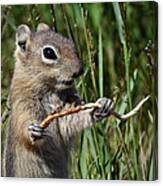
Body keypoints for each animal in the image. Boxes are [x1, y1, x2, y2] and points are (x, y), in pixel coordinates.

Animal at [1, 22, 113, 177]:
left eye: (70, 43)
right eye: (49, 53)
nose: (79, 71)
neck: (51, 90)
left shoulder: (63, 111)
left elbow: (72, 119)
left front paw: (102, 106)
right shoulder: (21, 103)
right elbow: (23, 127)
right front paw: (32, 130)